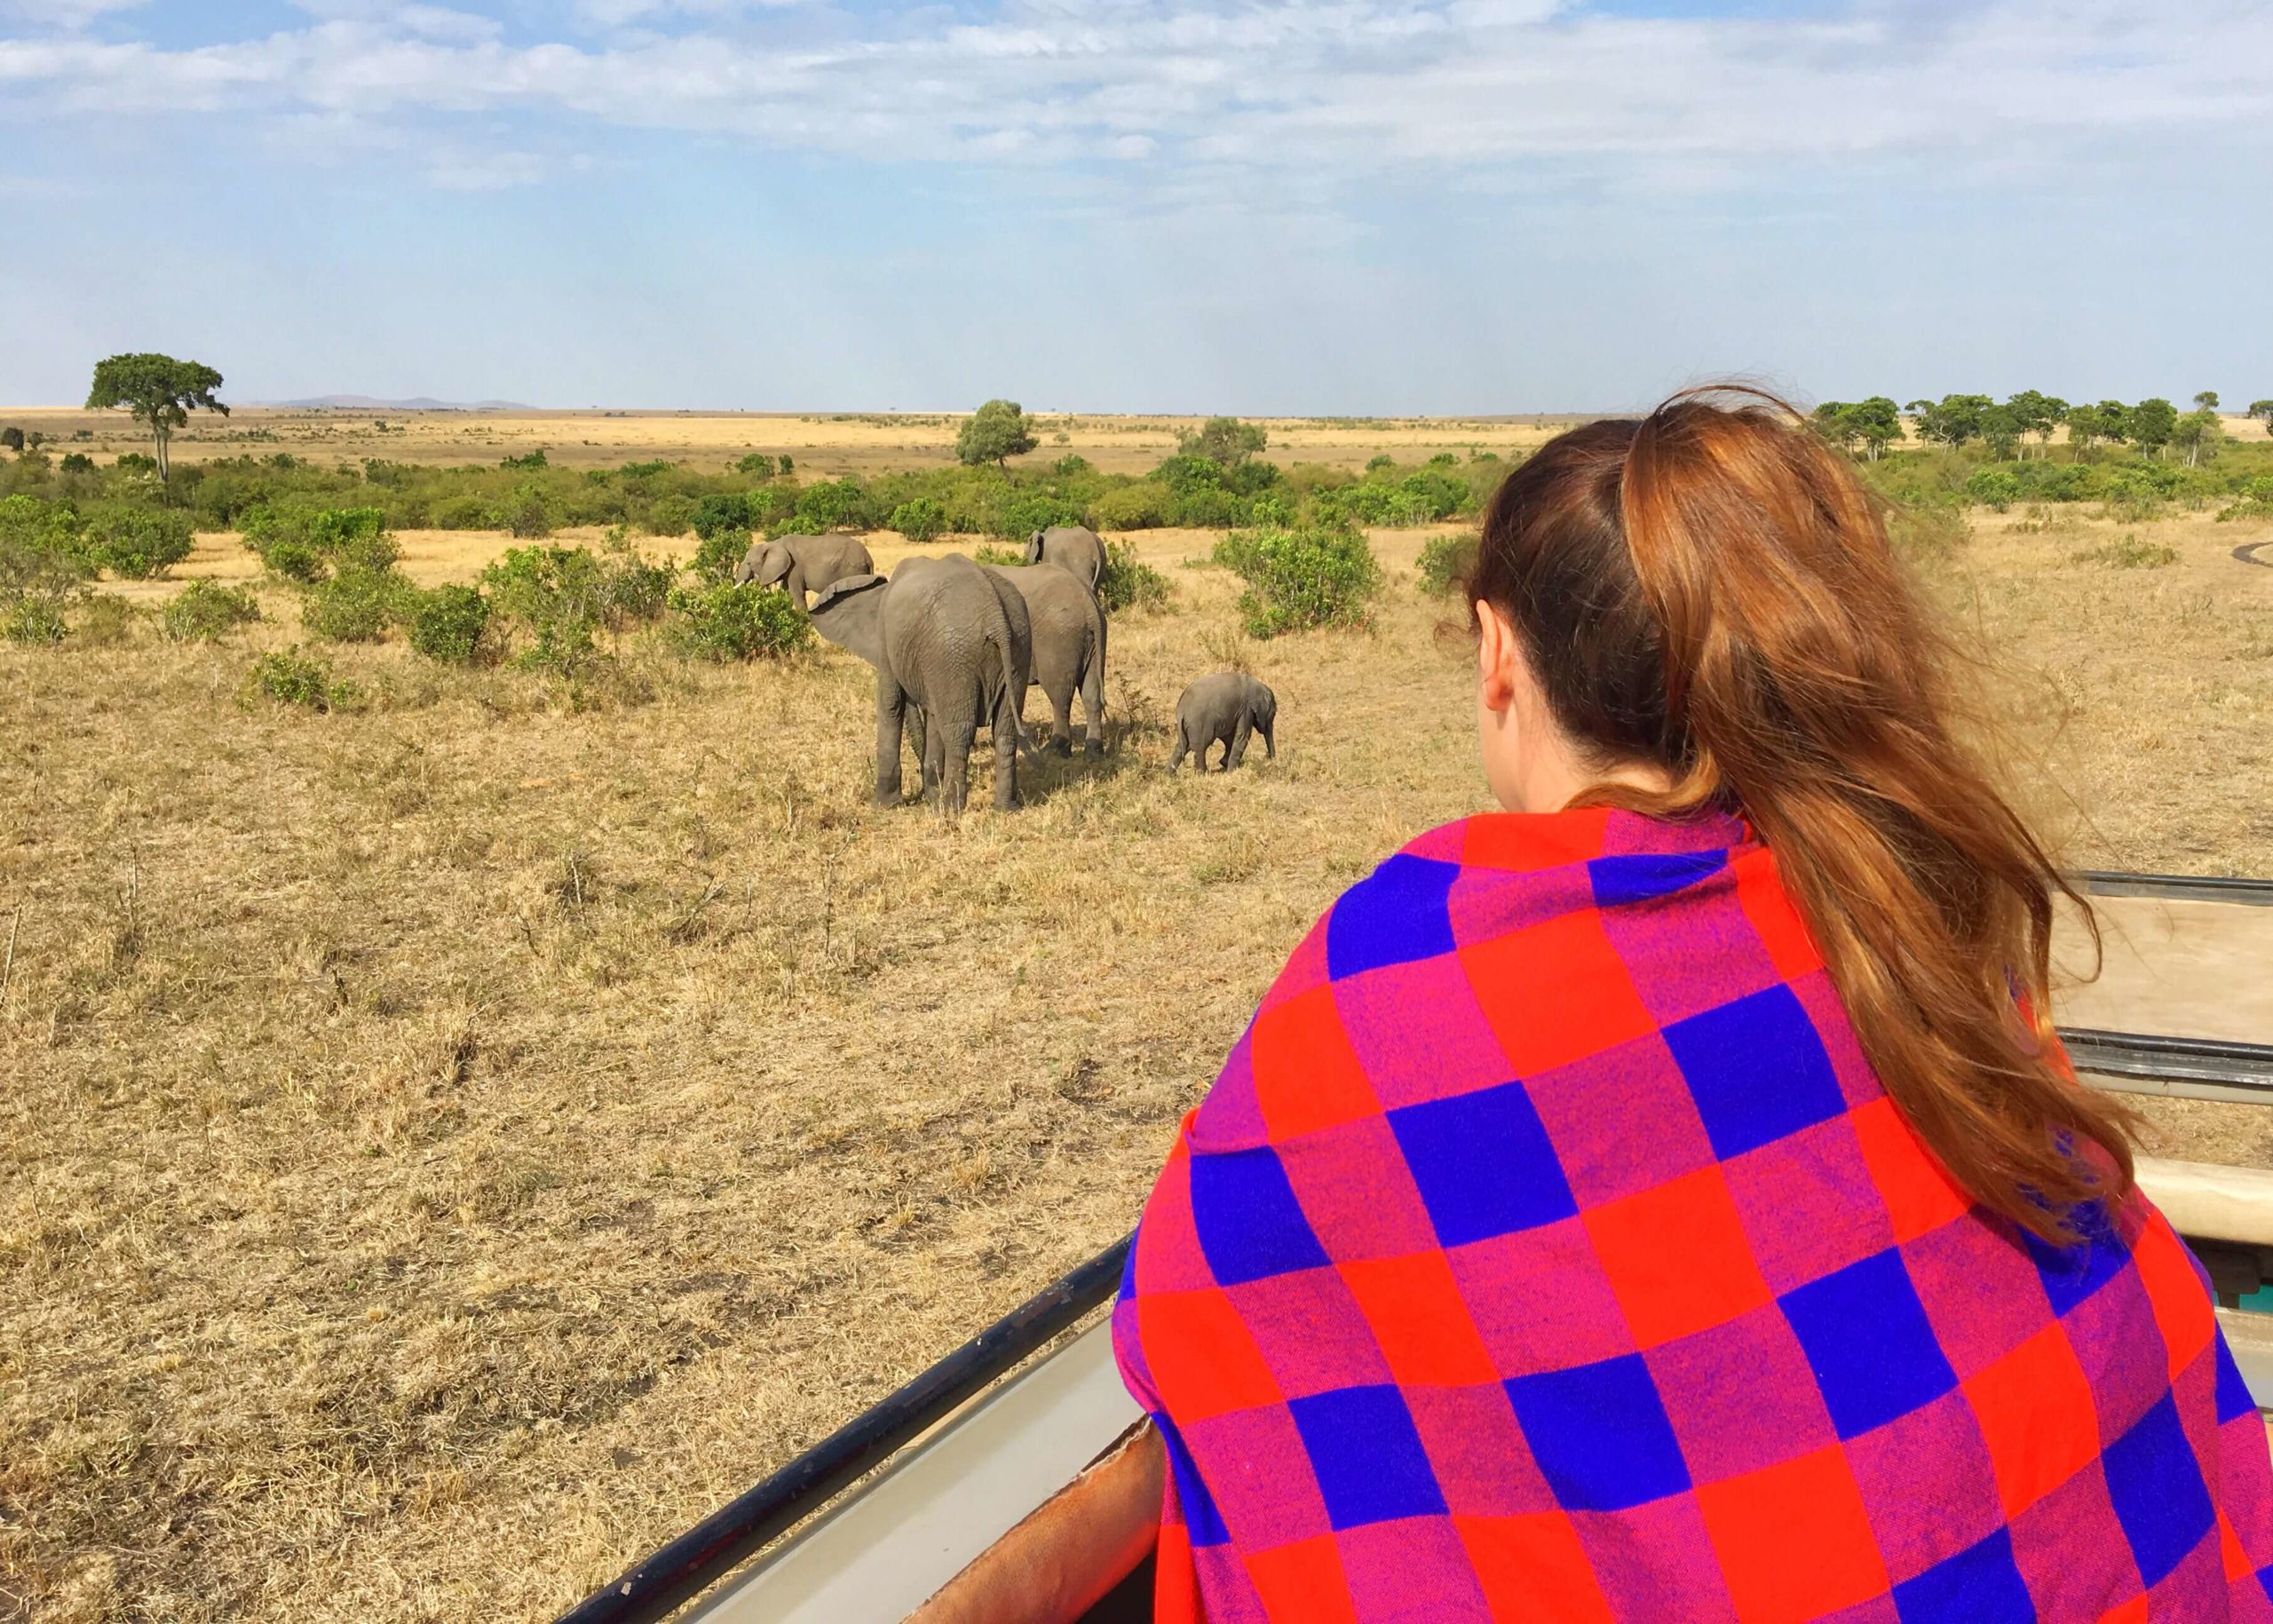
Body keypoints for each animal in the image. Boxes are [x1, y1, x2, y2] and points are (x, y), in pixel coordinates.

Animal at [732, 534, 873, 605]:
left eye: (749, 563)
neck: (773, 543)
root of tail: (868, 558)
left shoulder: (794, 568)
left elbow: (797, 594)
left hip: (852, 571)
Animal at [809, 552, 1041, 809]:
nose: (920, 779)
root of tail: (996, 616)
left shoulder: (888, 639)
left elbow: (891, 703)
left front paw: (884, 805)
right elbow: (932, 714)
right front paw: (930, 792)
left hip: (956, 654)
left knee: (959, 732)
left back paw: (947, 808)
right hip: (1017, 647)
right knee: (1005, 731)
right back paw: (1005, 808)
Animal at [986, 564, 1109, 750]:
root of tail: (1089, 605)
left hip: (1058, 639)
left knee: (1060, 697)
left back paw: (1055, 750)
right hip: (1095, 640)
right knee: (1091, 693)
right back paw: (1094, 752)